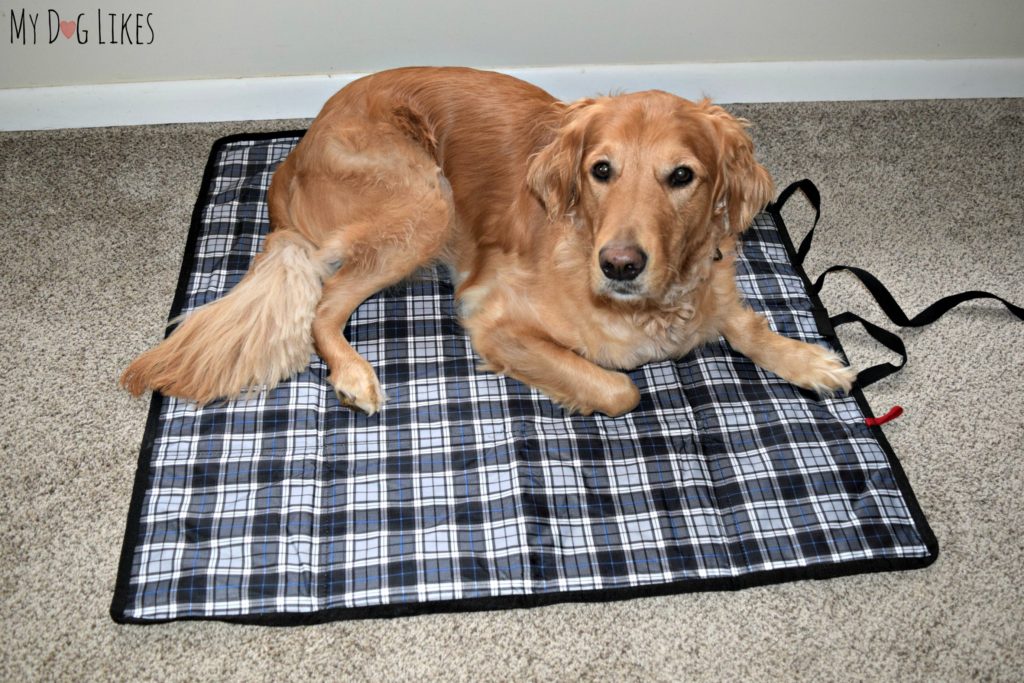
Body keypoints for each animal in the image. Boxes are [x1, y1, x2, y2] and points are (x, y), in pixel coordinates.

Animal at [121, 66, 856, 417]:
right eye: (602, 170)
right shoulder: (491, 311)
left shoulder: (713, 283)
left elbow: (747, 324)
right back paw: (355, 376)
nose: (620, 265)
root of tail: (294, 157)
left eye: (682, 176)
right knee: (323, 307)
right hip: (427, 201)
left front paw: (811, 361)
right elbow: (619, 388)